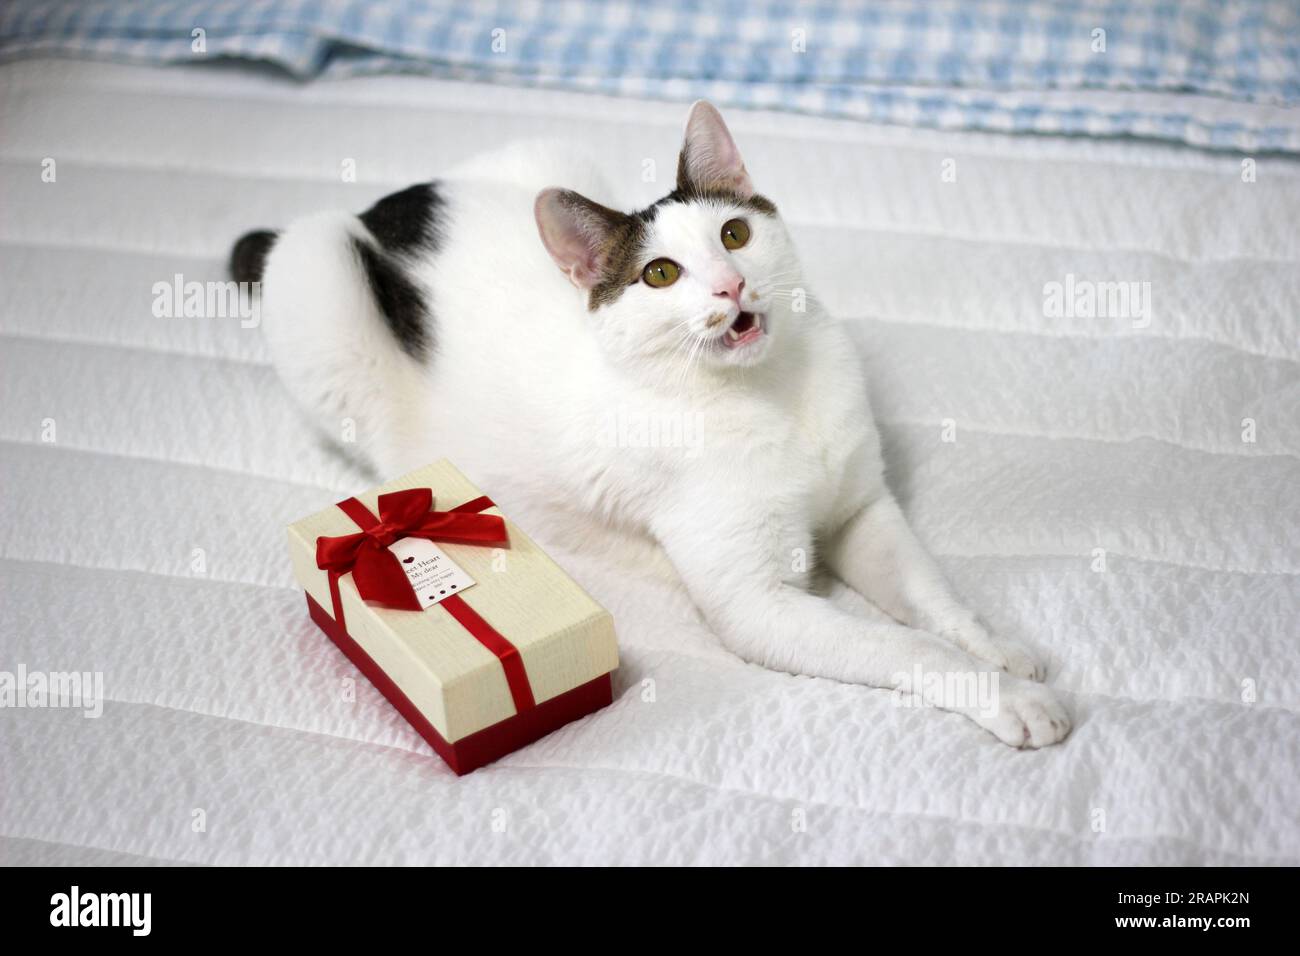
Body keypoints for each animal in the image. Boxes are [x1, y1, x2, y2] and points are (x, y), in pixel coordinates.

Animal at [239, 100, 1071, 749]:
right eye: (661, 274)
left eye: (734, 234)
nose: (731, 285)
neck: (772, 394)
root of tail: (381, 204)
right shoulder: (756, 604)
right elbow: (903, 642)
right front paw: (1001, 696)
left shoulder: (863, 511)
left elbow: (932, 596)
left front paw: (996, 648)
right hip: (317, 282)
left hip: (546, 152)